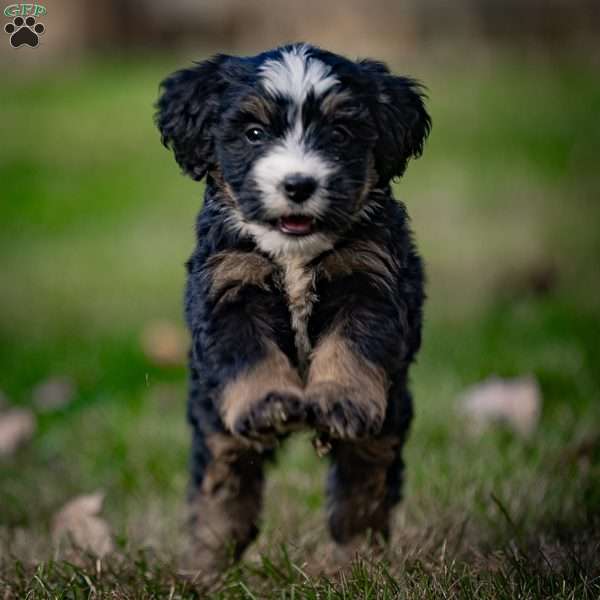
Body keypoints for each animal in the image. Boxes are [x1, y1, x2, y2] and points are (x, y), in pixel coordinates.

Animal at [155, 43, 426, 572]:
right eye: (254, 133)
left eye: (339, 133)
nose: (298, 185)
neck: (293, 254)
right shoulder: (227, 289)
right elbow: (250, 354)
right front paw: (268, 404)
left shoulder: (372, 282)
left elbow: (352, 347)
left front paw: (339, 400)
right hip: (215, 423)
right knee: (223, 491)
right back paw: (204, 566)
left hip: (387, 423)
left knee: (362, 492)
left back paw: (359, 563)